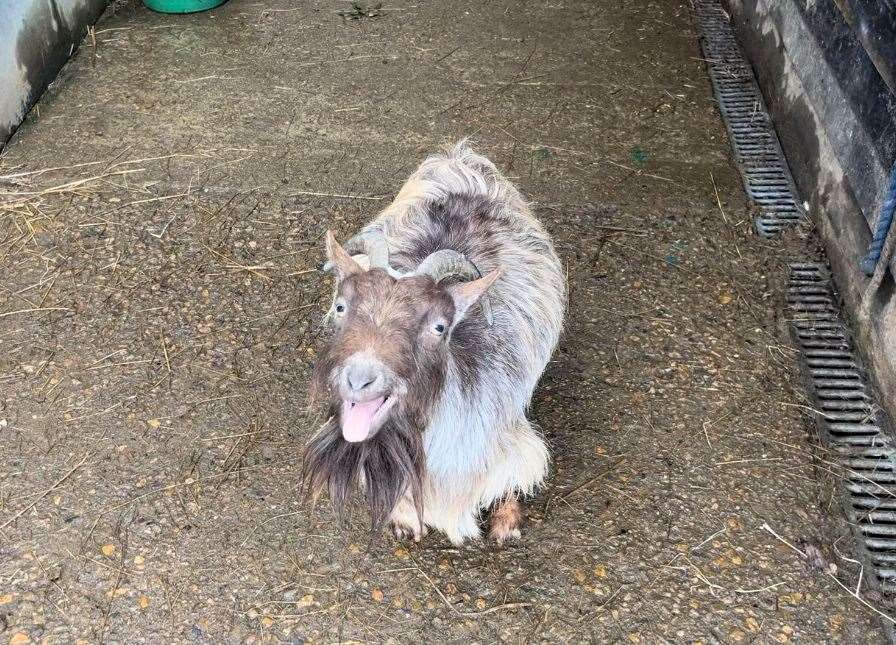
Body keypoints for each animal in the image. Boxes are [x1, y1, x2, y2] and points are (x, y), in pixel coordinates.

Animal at [304, 141, 564, 544]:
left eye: (440, 326)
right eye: (341, 306)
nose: (359, 379)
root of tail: (461, 156)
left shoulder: (513, 441)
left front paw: (506, 525)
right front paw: (405, 521)